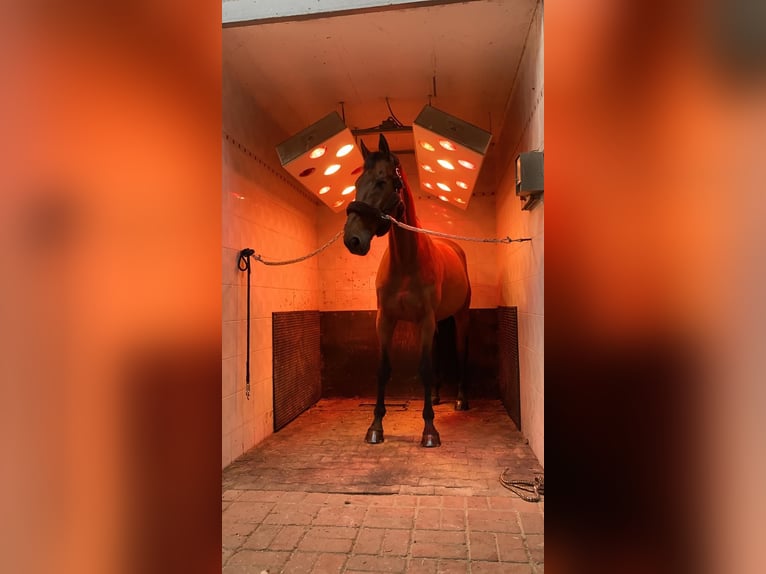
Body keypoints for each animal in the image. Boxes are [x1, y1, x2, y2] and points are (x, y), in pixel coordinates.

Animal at [343, 133, 471, 448]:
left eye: (382, 181)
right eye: (357, 182)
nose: (352, 239)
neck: (405, 260)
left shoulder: (424, 320)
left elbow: (423, 368)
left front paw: (430, 430)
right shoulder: (386, 320)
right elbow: (383, 369)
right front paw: (375, 426)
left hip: (459, 318)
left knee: (460, 351)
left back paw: (460, 400)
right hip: (436, 322)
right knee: (436, 353)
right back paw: (435, 397)